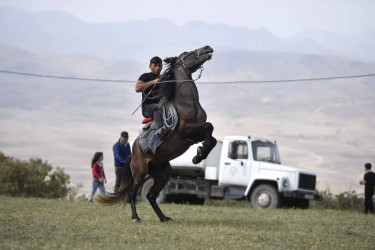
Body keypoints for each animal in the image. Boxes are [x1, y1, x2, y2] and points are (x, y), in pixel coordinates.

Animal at [95, 46, 216, 222]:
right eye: (187, 53)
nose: (207, 48)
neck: (187, 104)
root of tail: (134, 151)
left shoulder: (195, 136)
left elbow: (211, 136)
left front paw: (199, 154)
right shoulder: (187, 131)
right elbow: (208, 127)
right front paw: (199, 154)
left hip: (163, 173)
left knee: (151, 195)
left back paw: (163, 217)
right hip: (140, 172)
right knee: (133, 193)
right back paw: (135, 217)